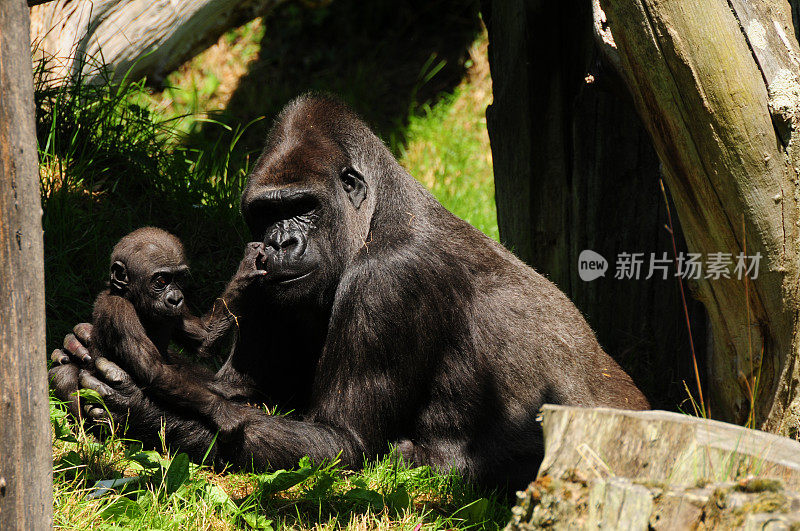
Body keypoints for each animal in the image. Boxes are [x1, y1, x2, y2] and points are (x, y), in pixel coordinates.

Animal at [51, 228, 268, 436]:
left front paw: (247, 268)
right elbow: (154, 371)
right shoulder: (119, 311)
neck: (132, 299)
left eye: (179, 278)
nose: (175, 298)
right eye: (162, 281)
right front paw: (223, 410)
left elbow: (205, 337)